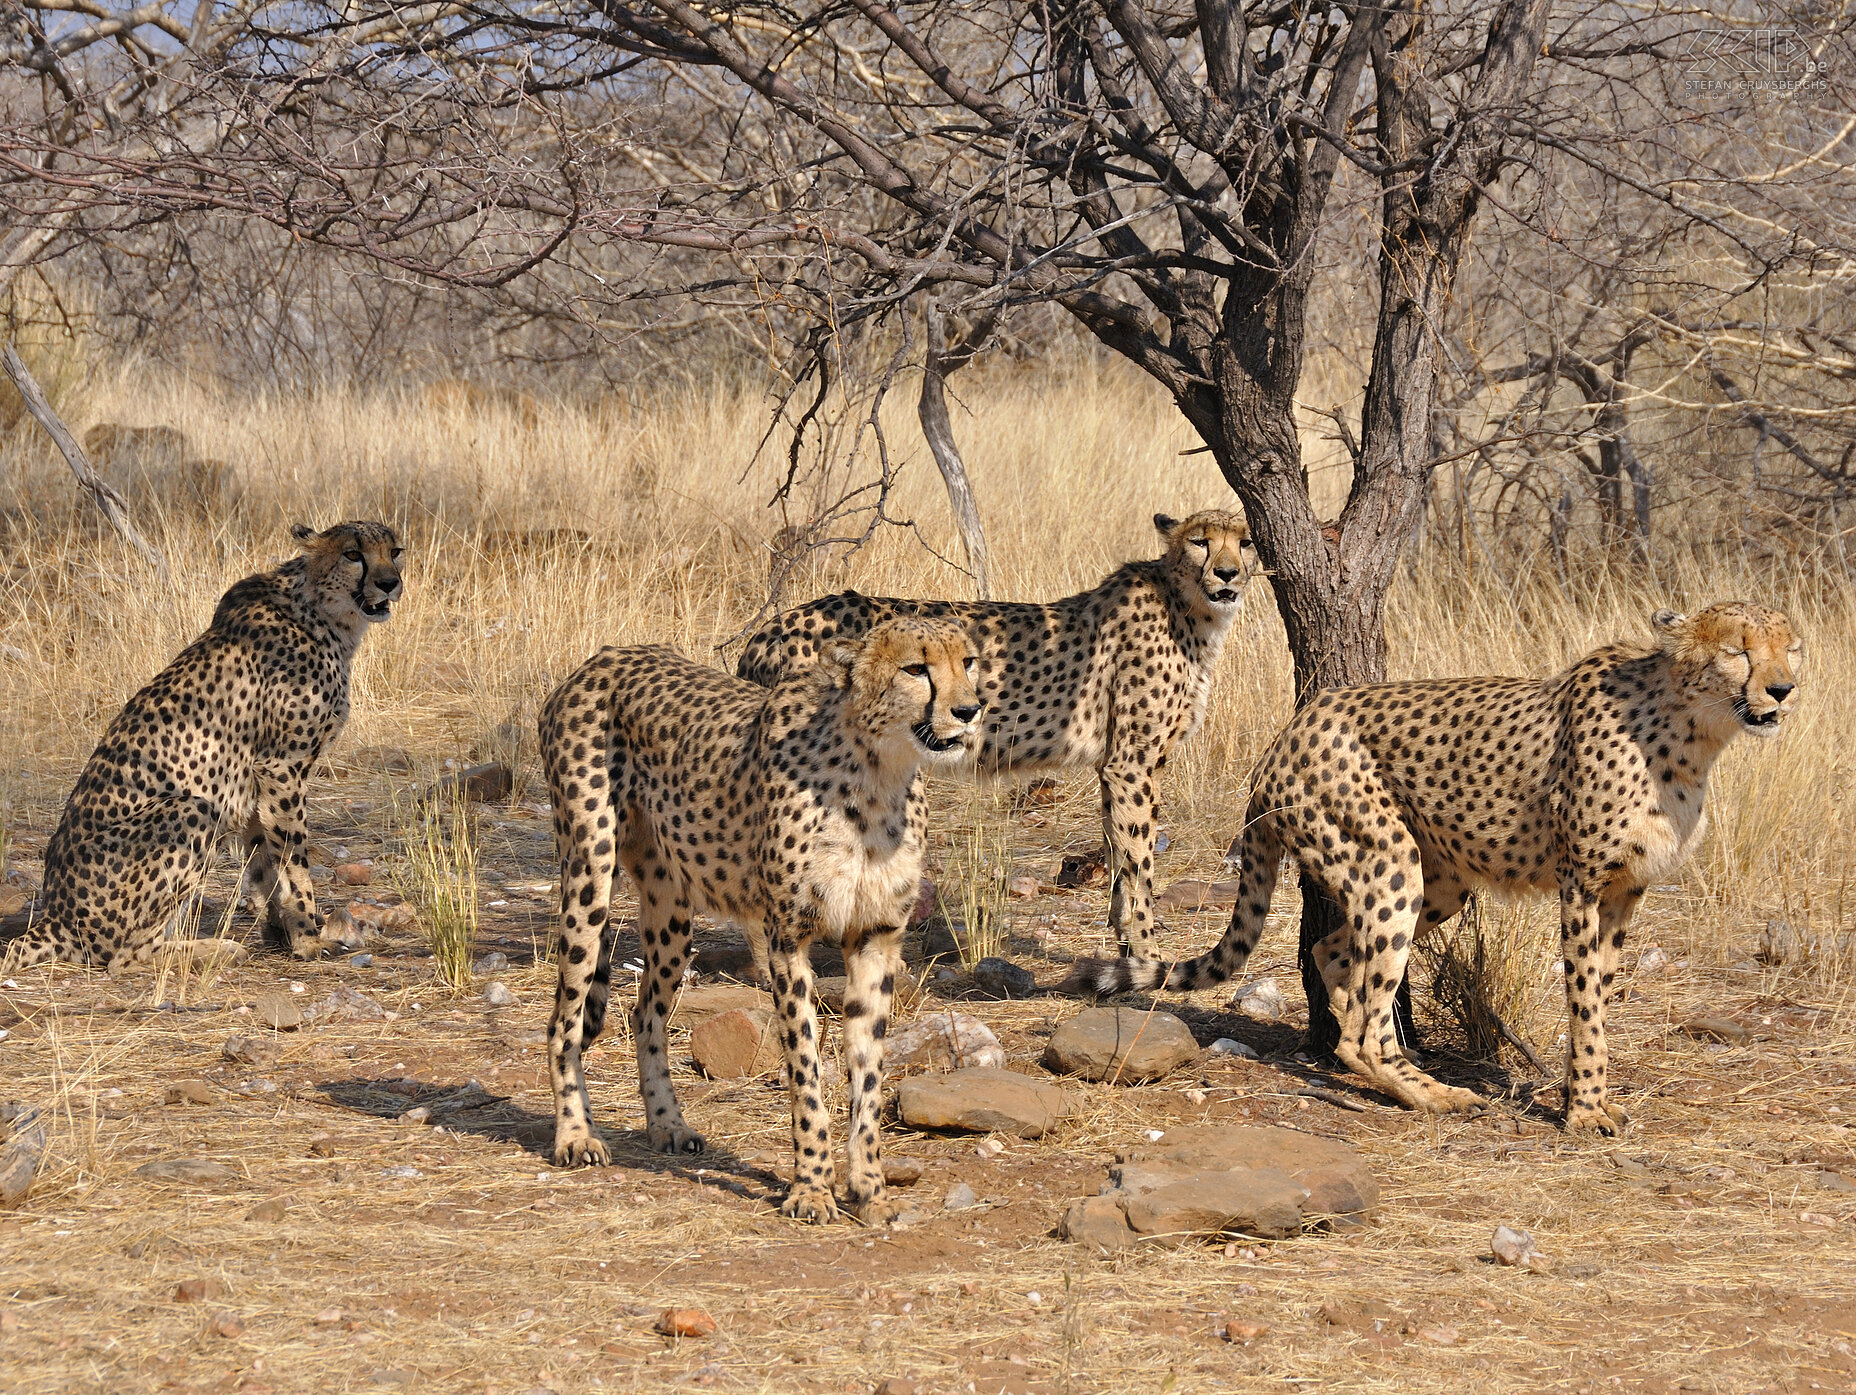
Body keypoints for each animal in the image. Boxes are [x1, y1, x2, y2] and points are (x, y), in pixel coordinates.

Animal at [3, 519, 404, 972]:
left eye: (395, 551)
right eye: (353, 554)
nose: (390, 583)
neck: (323, 614)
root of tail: (54, 915)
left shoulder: (257, 783)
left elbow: (265, 863)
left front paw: (280, 934)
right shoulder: (281, 766)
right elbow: (293, 862)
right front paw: (307, 938)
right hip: (192, 809)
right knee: (123, 957)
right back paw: (216, 949)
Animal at [541, 619, 987, 1216]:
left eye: (968, 661)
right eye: (915, 668)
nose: (969, 709)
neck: (878, 771)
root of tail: (603, 658)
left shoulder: (875, 937)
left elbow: (868, 1071)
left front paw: (868, 1188)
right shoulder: (787, 939)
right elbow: (805, 1069)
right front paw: (811, 1188)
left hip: (671, 912)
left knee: (646, 1015)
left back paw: (667, 1124)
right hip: (589, 873)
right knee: (564, 1021)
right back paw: (575, 1135)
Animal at [731, 511, 1254, 972]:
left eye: (1245, 542)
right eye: (1201, 541)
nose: (1227, 573)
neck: (1188, 606)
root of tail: (769, 627)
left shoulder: (1114, 766)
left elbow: (1118, 855)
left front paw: (1125, 942)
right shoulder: (1132, 763)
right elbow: (1140, 864)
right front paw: (1148, 956)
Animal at [1069, 601, 1804, 1135]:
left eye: (1790, 646)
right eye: (1737, 648)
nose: (1784, 688)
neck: (1691, 732)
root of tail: (1289, 731)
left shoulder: (1627, 889)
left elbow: (1601, 989)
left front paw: (1589, 1091)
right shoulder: (1583, 885)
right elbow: (1585, 1001)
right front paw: (1584, 1108)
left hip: (1441, 877)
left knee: (1334, 953)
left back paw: (1369, 1050)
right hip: (1392, 859)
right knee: (1366, 1020)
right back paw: (1434, 1093)